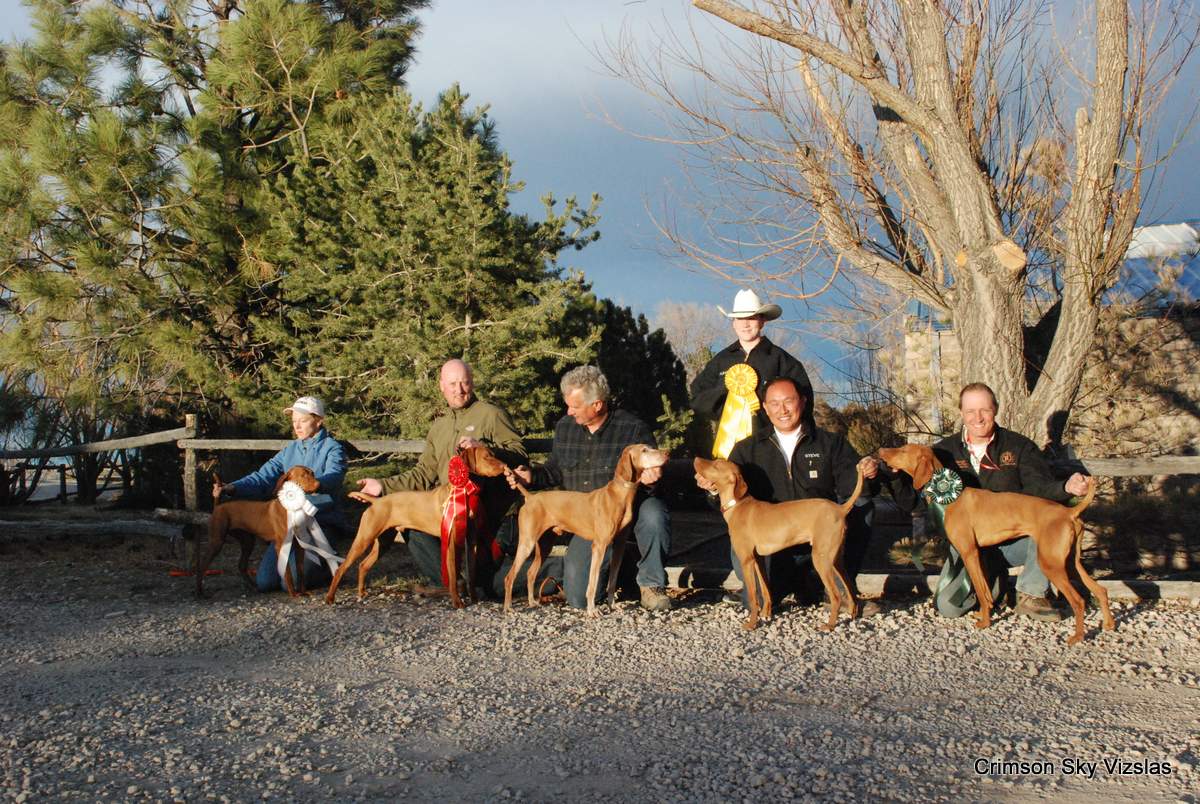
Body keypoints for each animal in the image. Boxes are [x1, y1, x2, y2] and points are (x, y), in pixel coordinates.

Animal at [196, 465, 319, 597]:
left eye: (313, 474)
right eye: (303, 475)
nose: (319, 484)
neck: (291, 507)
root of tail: (219, 506)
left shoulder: (299, 546)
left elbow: (301, 571)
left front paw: (303, 591)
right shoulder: (282, 545)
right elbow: (288, 573)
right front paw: (293, 594)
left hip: (248, 542)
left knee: (241, 566)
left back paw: (253, 586)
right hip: (217, 541)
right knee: (202, 567)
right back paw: (199, 592)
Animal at [326, 444, 508, 607]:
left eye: (493, 454)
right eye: (486, 457)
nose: (504, 466)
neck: (464, 490)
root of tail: (376, 501)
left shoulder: (471, 542)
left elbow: (471, 573)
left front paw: (474, 599)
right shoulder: (451, 541)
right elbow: (453, 574)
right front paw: (457, 602)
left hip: (383, 543)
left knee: (363, 565)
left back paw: (361, 592)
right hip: (364, 538)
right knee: (341, 568)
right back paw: (330, 598)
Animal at [504, 444, 672, 619]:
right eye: (644, 450)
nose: (667, 453)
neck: (621, 495)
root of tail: (530, 497)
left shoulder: (619, 546)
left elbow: (612, 580)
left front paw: (612, 605)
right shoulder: (599, 546)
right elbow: (593, 582)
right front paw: (592, 610)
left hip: (544, 546)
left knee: (530, 573)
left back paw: (532, 602)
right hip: (527, 543)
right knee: (509, 577)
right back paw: (508, 607)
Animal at [696, 463, 864, 633]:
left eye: (716, 465)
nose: (696, 459)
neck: (737, 504)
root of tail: (840, 508)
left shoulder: (746, 560)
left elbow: (753, 596)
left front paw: (752, 623)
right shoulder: (758, 559)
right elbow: (765, 589)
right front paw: (765, 614)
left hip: (821, 559)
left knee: (836, 595)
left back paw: (829, 625)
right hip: (835, 560)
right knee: (850, 587)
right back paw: (852, 614)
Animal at [873, 444, 1113, 648]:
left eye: (903, 450)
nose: (881, 450)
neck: (950, 498)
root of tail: (1069, 512)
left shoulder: (969, 552)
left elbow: (980, 590)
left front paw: (984, 623)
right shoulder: (979, 554)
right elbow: (986, 591)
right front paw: (984, 614)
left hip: (1050, 562)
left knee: (1079, 600)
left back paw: (1077, 636)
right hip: (1070, 562)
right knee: (1100, 590)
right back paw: (1109, 624)